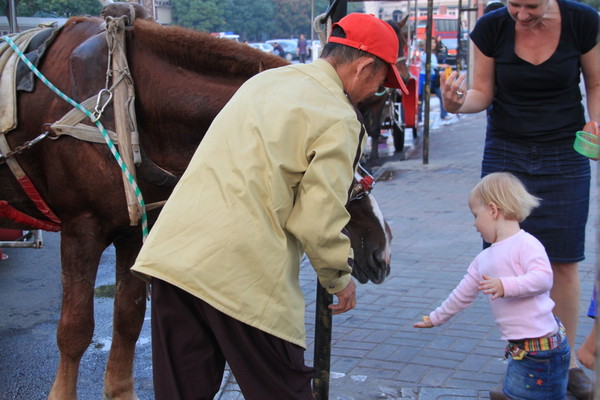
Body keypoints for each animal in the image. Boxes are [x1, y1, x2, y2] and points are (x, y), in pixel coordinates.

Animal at [0, 10, 392, 398]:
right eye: (354, 151)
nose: (383, 246)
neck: (127, 106)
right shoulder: (82, 228)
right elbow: (74, 331)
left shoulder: (132, 232)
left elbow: (128, 319)